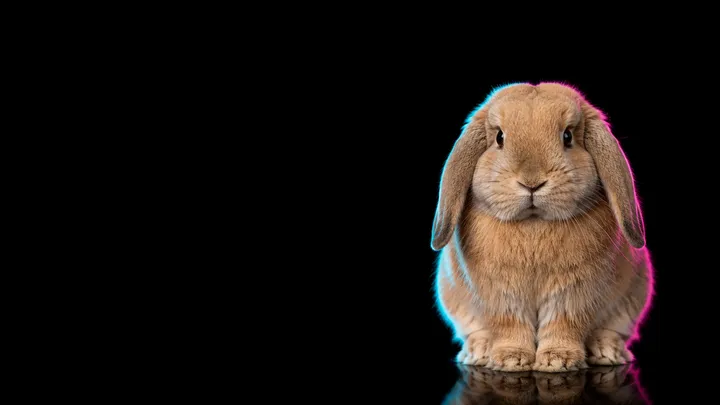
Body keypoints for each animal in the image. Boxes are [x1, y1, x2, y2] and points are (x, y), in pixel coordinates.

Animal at [431, 82, 654, 373]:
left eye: (567, 136)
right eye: (500, 137)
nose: (532, 182)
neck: (533, 223)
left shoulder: (572, 294)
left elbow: (564, 324)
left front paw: (558, 360)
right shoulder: (501, 297)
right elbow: (509, 326)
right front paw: (511, 359)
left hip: (632, 300)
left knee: (612, 331)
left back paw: (607, 352)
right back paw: (478, 352)